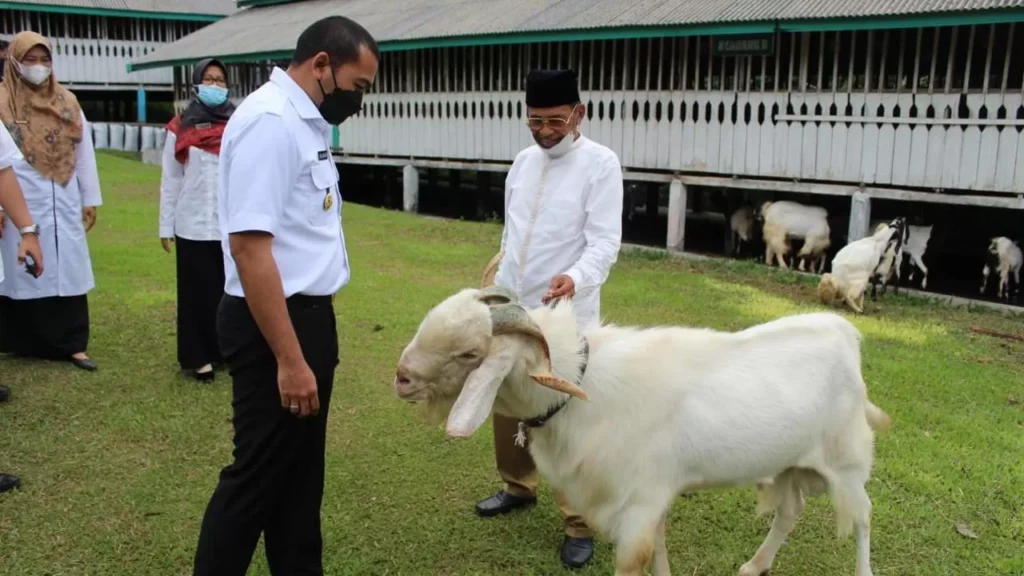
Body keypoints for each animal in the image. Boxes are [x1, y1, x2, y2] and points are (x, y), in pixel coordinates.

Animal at [391, 254, 888, 573]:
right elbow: (660, 554)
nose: (402, 378)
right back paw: (753, 566)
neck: (585, 390)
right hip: (790, 462)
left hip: (846, 460)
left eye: (469, 353)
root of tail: (846, 334)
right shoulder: (652, 499)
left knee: (864, 516)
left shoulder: (637, 505)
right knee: (790, 511)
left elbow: (637, 561)